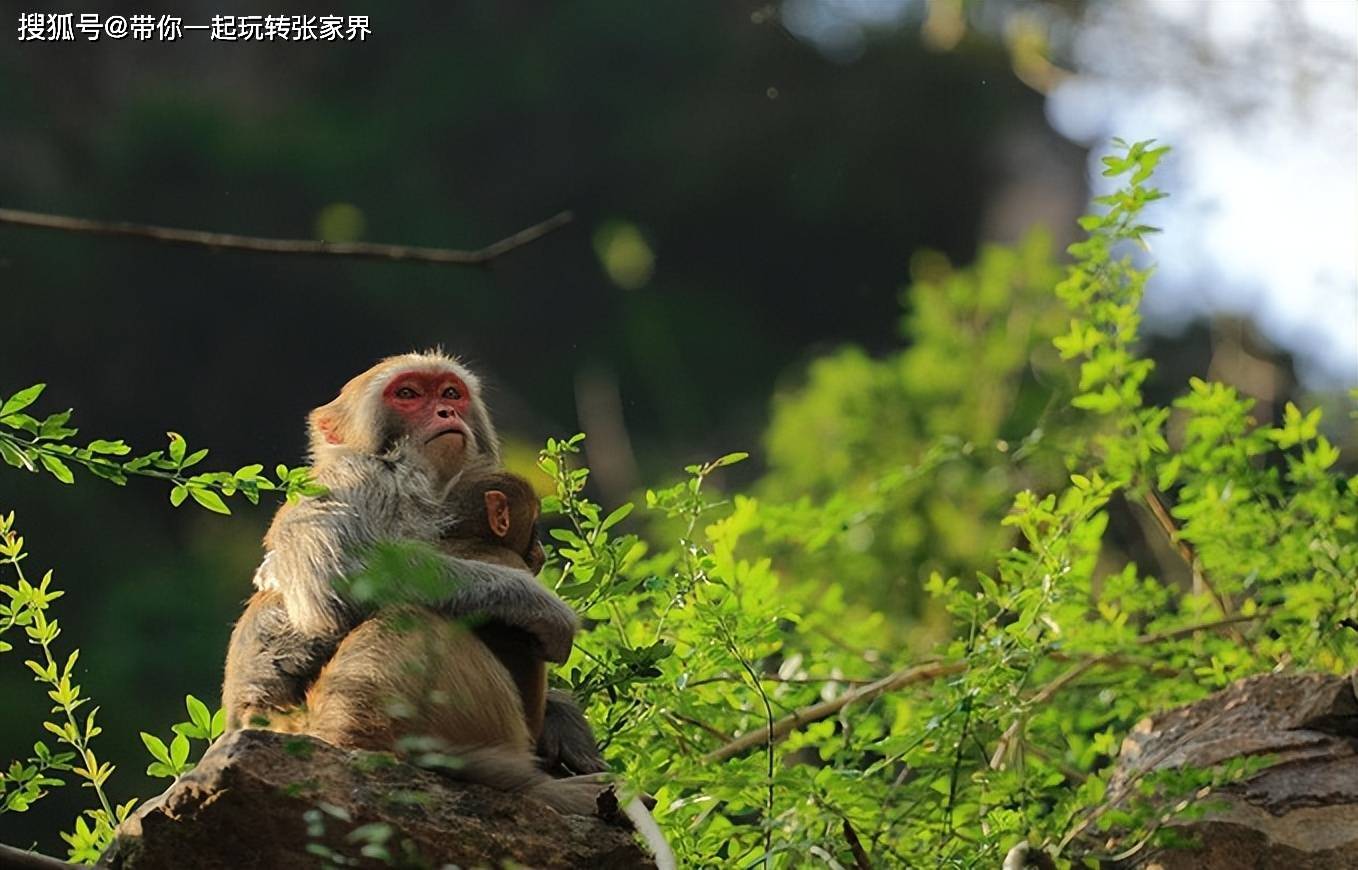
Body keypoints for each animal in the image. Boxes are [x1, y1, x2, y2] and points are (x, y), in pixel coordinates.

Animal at [221, 347, 600, 803]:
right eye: (407, 394)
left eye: (451, 393)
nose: (445, 411)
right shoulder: (360, 477)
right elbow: (334, 579)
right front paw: (533, 601)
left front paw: (564, 719)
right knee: (408, 618)